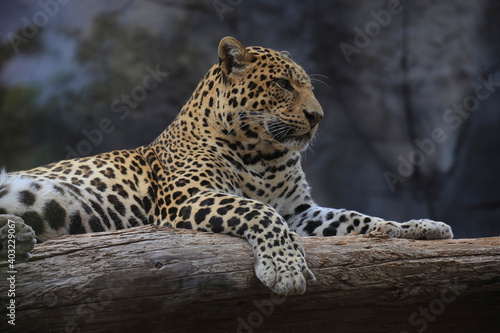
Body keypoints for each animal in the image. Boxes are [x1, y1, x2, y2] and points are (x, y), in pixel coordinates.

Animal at [0, 37, 454, 294]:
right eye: (283, 84)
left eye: (307, 86)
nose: (317, 116)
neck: (266, 154)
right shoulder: (188, 199)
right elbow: (260, 211)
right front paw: (285, 268)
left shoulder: (301, 211)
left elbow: (354, 217)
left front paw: (415, 228)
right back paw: (19, 236)